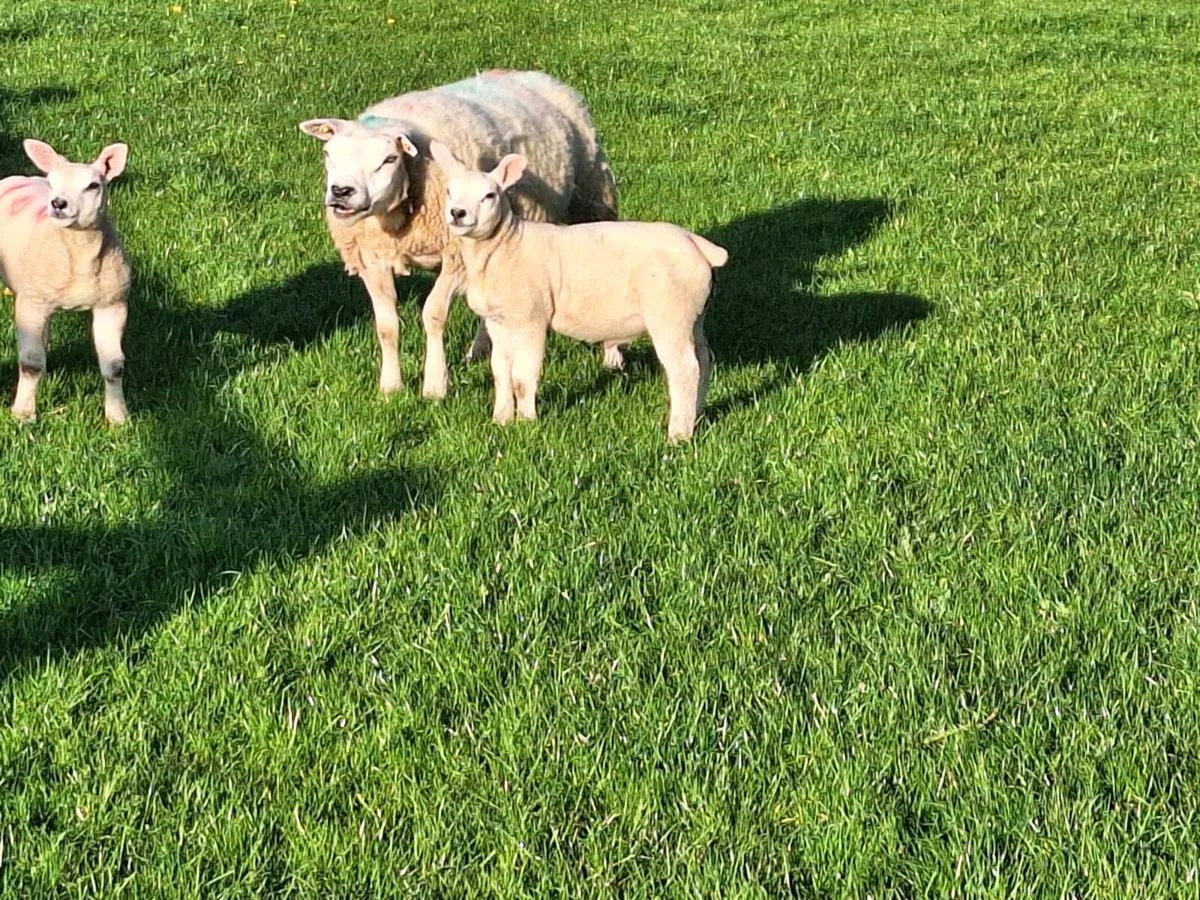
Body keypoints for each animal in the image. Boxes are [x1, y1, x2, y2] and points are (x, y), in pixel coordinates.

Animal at [0, 139, 131, 425]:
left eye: (93, 185)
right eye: (52, 182)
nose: (58, 203)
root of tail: (18, 178)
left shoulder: (112, 304)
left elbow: (114, 365)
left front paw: (118, 416)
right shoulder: (32, 303)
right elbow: (30, 363)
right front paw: (23, 414)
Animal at [299, 69, 619, 401]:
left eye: (389, 159)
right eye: (328, 154)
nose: (341, 192)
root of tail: (531, 73)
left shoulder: (456, 258)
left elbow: (433, 315)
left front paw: (434, 386)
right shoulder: (372, 259)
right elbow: (386, 326)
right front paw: (390, 387)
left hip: (593, 198)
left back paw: (612, 357)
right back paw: (478, 351)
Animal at [429, 141, 727, 443]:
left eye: (489, 195)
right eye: (449, 191)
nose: (457, 213)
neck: (504, 246)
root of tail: (697, 244)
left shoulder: (531, 319)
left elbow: (523, 378)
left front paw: (526, 421)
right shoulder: (498, 322)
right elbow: (500, 373)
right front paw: (501, 420)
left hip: (669, 314)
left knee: (684, 369)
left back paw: (678, 435)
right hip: (693, 315)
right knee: (704, 361)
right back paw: (696, 416)